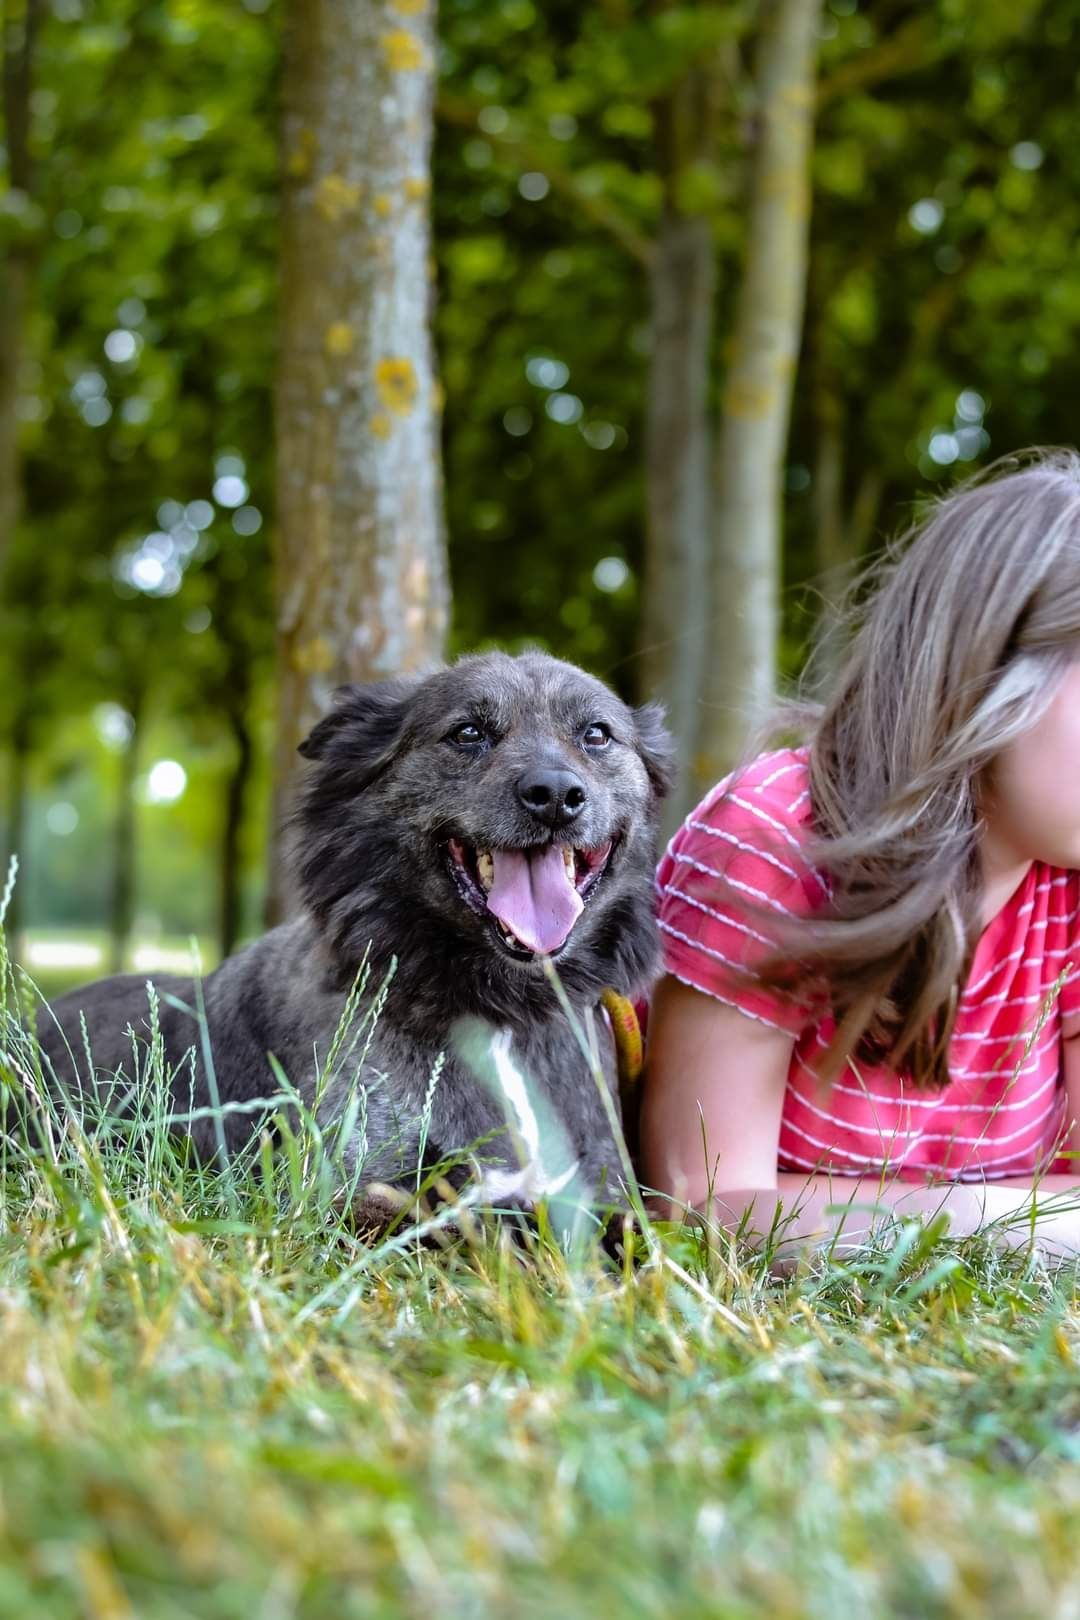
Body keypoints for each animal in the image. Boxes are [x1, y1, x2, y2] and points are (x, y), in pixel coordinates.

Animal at [38, 651, 670, 1218]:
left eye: (596, 735)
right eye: (467, 733)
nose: (556, 796)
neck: (503, 1011)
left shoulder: (607, 1192)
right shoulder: (348, 1193)